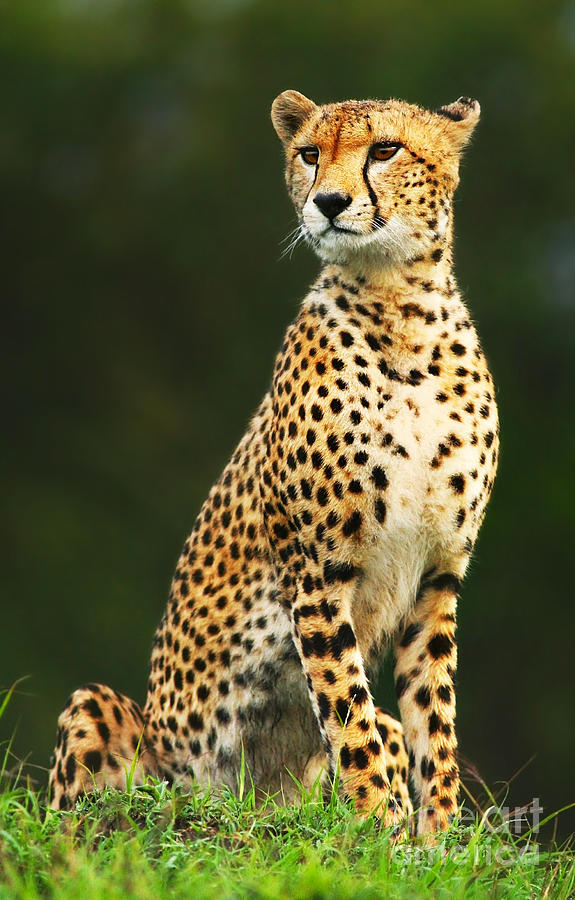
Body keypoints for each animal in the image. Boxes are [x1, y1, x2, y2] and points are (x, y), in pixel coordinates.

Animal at [48, 91, 500, 836]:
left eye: (385, 150)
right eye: (309, 154)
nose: (329, 202)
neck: (401, 307)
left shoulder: (438, 574)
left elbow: (431, 720)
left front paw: (435, 838)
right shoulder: (316, 570)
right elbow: (348, 713)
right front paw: (382, 829)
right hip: (108, 720)